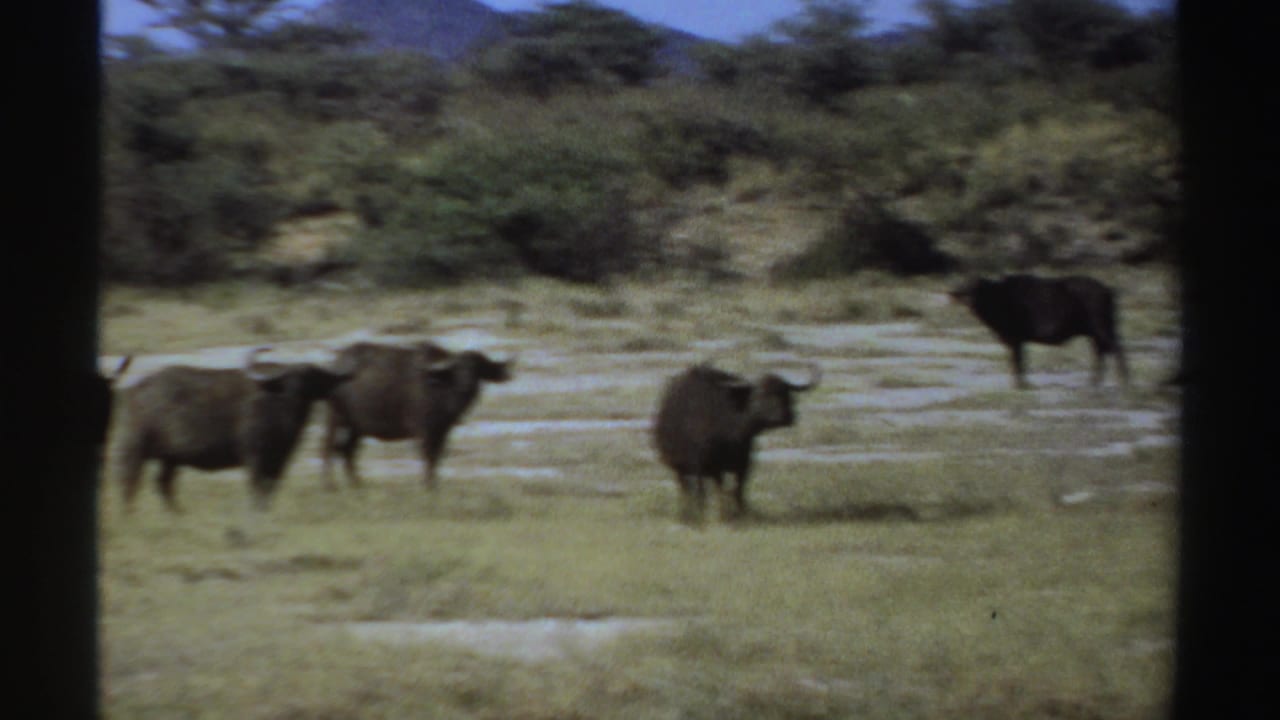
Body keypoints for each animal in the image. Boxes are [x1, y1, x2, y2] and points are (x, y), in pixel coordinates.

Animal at [115, 348, 356, 512]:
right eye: (289, 379)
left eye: (315, 378)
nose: (297, 394)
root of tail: (137, 388)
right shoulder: (254, 455)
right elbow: (257, 486)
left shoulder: (279, 460)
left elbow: (270, 488)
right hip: (135, 447)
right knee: (130, 481)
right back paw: (131, 515)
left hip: (170, 458)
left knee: (163, 483)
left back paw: (177, 514)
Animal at [321, 341, 514, 490]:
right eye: (458, 369)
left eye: (479, 369)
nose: (466, 386)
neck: (440, 385)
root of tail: (336, 364)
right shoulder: (424, 431)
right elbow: (428, 456)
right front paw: (427, 486)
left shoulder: (442, 431)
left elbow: (437, 457)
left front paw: (434, 485)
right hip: (335, 419)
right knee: (328, 448)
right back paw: (330, 485)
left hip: (356, 427)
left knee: (347, 451)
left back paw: (357, 485)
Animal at [652, 362, 820, 522]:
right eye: (760, 394)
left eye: (787, 393)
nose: (784, 416)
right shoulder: (704, 465)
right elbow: (709, 491)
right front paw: (713, 515)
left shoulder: (743, 466)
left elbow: (738, 491)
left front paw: (740, 514)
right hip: (680, 467)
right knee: (686, 490)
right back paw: (688, 515)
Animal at [950, 274, 1129, 389]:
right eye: (966, 289)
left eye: (980, 289)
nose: (971, 302)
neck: (1002, 298)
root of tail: (1107, 290)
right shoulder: (1016, 341)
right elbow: (1018, 363)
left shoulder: (1015, 340)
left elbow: (1017, 363)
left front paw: (1019, 385)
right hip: (1095, 333)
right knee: (1100, 352)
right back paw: (1094, 382)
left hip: (1103, 328)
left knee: (1117, 349)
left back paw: (1123, 381)